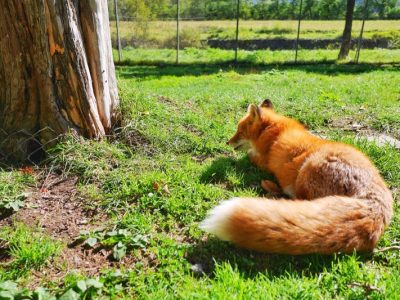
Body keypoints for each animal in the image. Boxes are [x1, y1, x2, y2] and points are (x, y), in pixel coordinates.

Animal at [202, 99, 392, 254]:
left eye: (239, 131)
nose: (227, 142)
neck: (276, 133)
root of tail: (375, 198)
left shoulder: (263, 160)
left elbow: (249, 155)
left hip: (307, 171)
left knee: (297, 201)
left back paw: (271, 188)